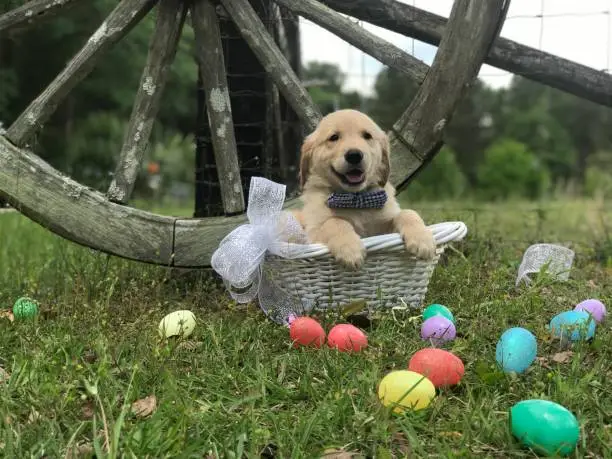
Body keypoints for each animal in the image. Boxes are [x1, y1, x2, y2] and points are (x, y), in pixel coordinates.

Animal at [296, 109, 436, 270]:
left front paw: (422, 238)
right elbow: (334, 221)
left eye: (367, 136)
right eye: (334, 137)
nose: (354, 155)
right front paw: (350, 249)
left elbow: (407, 213)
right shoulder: (313, 234)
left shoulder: (382, 229)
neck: (357, 200)